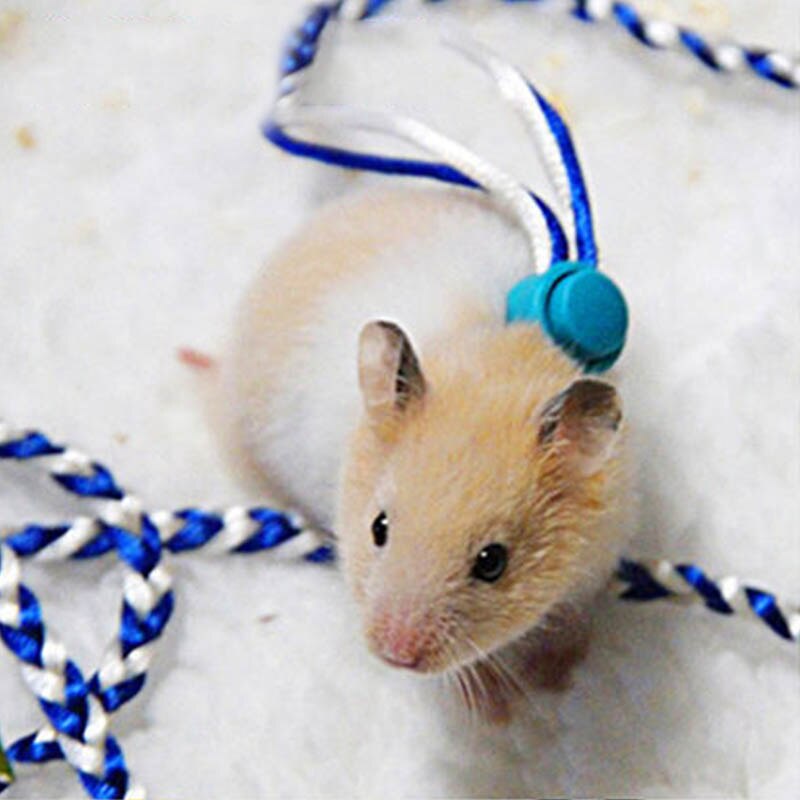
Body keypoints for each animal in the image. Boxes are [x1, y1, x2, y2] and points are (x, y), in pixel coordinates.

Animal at [227, 185, 633, 722]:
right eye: (378, 528)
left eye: (492, 562)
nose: (392, 655)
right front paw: (498, 713)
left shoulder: (597, 560)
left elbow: (572, 621)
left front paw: (556, 679)